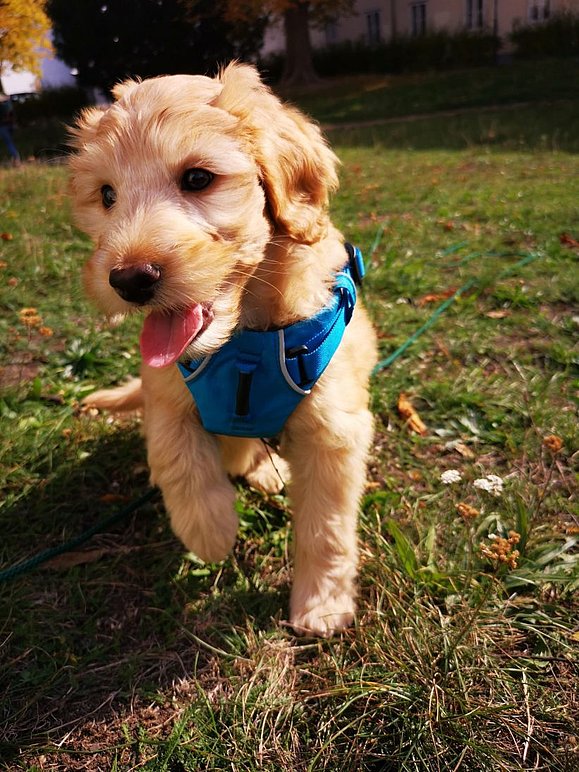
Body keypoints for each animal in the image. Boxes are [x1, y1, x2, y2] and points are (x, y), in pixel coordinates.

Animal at [70, 61, 378, 640]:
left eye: (197, 178)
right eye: (107, 195)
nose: (128, 279)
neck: (245, 345)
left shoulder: (332, 428)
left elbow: (326, 526)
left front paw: (320, 604)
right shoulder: (166, 391)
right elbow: (180, 458)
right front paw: (210, 531)